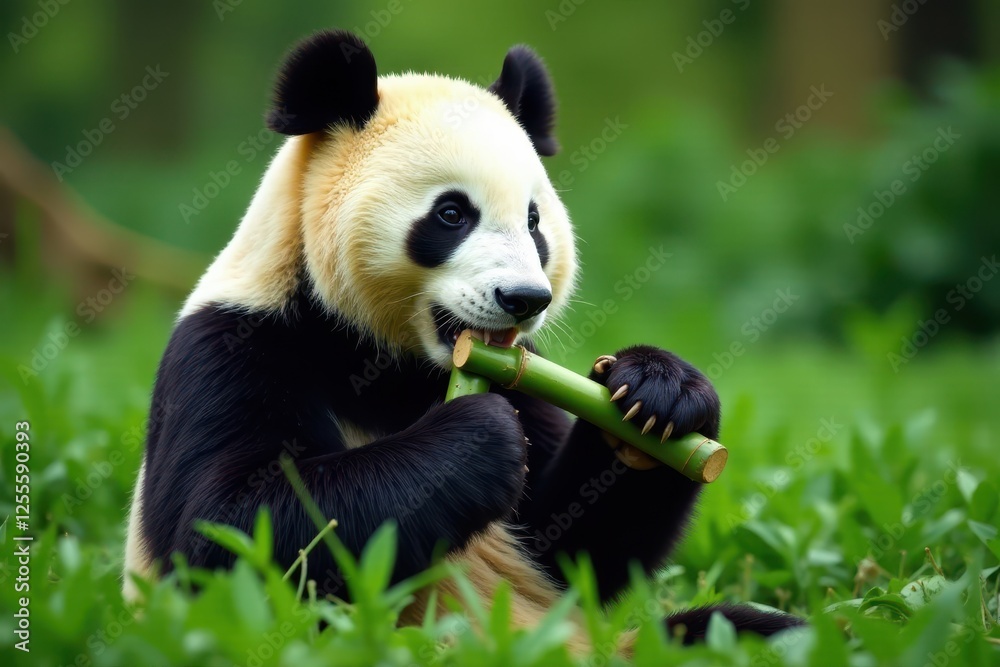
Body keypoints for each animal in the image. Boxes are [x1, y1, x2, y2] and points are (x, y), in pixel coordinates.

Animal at [123, 29, 803, 652]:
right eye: (451, 214)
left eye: (534, 222)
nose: (524, 299)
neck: (381, 357)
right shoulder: (235, 346)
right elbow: (227, 537)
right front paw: (477, 438)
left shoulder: (523, 373)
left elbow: (567, 549)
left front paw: (657, 394)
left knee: (744, 631)